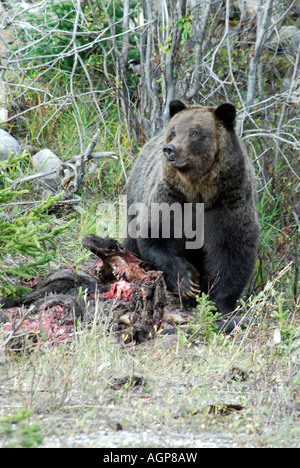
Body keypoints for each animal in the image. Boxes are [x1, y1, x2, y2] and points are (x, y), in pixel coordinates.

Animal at [123, 100, 258, 316]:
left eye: (195, 132)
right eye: (174, 131)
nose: (170, 149)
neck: (199, 191)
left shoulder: (228, 204)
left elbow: (233, 253)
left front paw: (219, 304)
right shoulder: (172, 200)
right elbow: (156, 238)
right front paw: (188, 283)